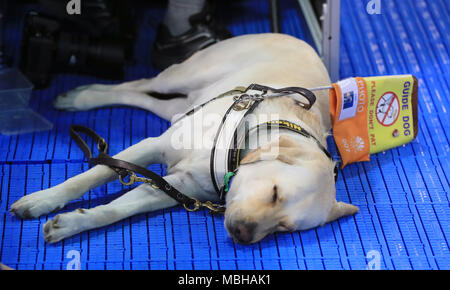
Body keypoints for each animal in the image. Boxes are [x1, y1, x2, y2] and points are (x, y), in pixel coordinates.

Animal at [10, 33, 358, 245]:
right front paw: (40, 201)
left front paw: (72, 224)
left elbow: (119, 209)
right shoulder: (151, 146)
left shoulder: (177, 188)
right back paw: (82, 97)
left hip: (181, 104)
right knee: (139, 84)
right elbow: (91, 175)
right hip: (183, 74)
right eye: (274, 193)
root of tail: (296, 38)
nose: (244, 234)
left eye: (283, 228)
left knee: (145, 98)